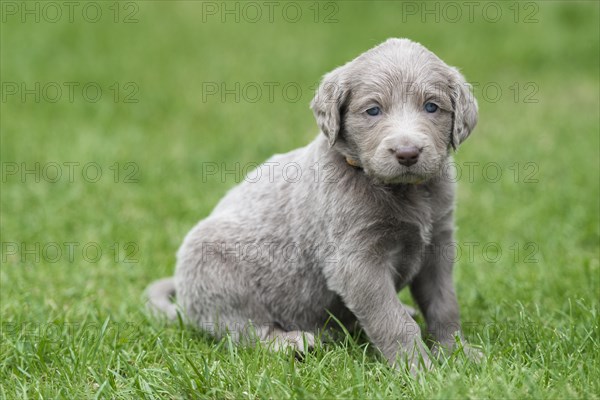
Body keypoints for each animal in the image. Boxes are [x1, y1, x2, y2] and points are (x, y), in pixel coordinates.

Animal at [148, 37, 480, 372]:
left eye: (431, 106)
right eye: (373, 110)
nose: (407, 152)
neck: (404, 191)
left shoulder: (437, 244)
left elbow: (444, 304)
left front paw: (456, 352)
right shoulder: (355, 261)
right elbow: (391, 318)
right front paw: (418, 368)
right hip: (216, 272)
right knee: (245, 331)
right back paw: (292, 342)